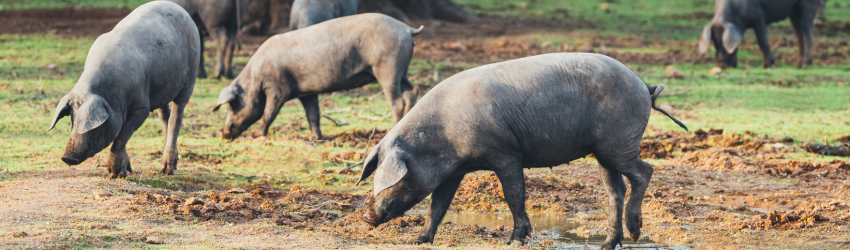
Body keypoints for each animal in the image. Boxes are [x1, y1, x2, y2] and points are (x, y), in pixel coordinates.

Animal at [47, 1, 199, 178]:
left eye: (91, 126)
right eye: (72, 119)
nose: (67, 157)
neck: (110, 94)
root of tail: (179, 8)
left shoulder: (141, 107)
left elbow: (122, 134)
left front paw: (115, 173)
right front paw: (126, 171)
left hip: (190, 78)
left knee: (177, 114)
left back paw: (167, 170)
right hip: (164, 87)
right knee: (164, 115)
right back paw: (164, 168)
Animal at [215, 13, 420, 141]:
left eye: (232, 106)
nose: (223, 134)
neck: (254, 78)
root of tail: (407, 29)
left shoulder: (278, 87)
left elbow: (269, 112)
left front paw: (258, 135)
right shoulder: (306, 92)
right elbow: (313, 114)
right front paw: (317, 138)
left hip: (387, 67)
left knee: (397, 100)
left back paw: (392, 128)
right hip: (402, 69)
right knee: (412, 90)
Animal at [358, 53, 688, 249]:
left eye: (386, 179)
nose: (365, 215)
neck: (442, 138)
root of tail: (644, 86)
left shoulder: (505, 154)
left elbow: (513, 194)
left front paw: (514, 241)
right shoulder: (454, 171)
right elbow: (437, 206)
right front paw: (418, 240)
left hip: (618, 142)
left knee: (644, 172)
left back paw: (634, 232)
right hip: (604, 152)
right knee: (615, 192)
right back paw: (608, 244)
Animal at [696, 0, 828, 68]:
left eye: (724, 44)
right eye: (715, 43)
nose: (720, 64)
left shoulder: (759, 16)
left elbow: (762, 41)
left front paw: (769, 65)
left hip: (808, 3)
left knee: (808, 32)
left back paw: (806, 63)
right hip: (794, 11)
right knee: (800, 34)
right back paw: (799, 64)